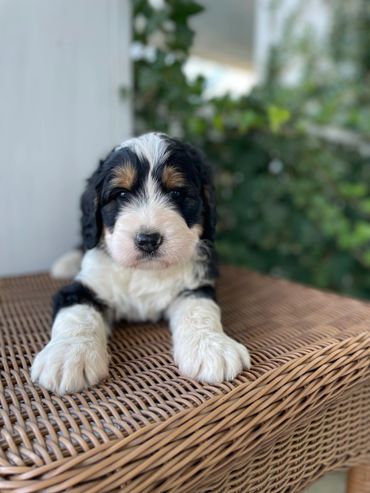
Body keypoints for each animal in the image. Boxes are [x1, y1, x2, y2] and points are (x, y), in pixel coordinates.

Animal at [31, 133, 251, 394]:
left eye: (176, 194)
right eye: (121, 195)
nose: (148, 240)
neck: (145, 271)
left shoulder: (194, 286)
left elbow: (200, 310)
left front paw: (212, 347)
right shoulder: (83, 287)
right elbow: (78, 314)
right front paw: (68, 355)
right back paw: (65, 264)